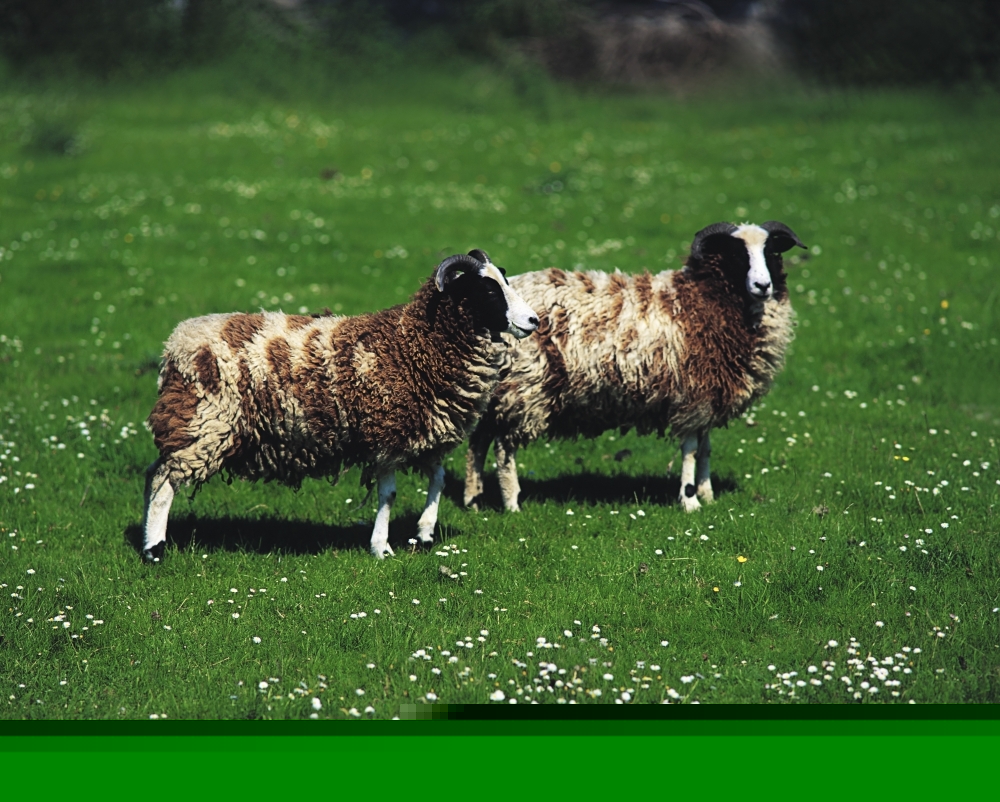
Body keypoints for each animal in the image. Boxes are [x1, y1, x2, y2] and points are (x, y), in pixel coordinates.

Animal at [141, 250, 539, 561]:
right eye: (488, 289)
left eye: (505, 279)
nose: (533, 321)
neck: (412, 343)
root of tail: (175, 343)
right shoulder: (387, 435)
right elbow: (389, 494)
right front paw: (381, 547)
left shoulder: (425, 432)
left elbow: (438, 480)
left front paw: (425, 532)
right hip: (202, 423)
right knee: (164, 482)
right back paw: (153, 548)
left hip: (193, 424)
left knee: (153, 475)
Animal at [463, 221, 805, 514]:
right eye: (737, 254)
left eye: (771, 252)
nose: (763, 285)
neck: (705, 300)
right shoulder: (692, 396)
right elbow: (691, 450)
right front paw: (690, 500)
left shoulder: (709, 395)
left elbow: (705, 448)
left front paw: (707, 495)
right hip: (526, 388)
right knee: (504, 448)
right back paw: (512, 504)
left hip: (498, 390)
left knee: (478, 440)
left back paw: (473, 499)